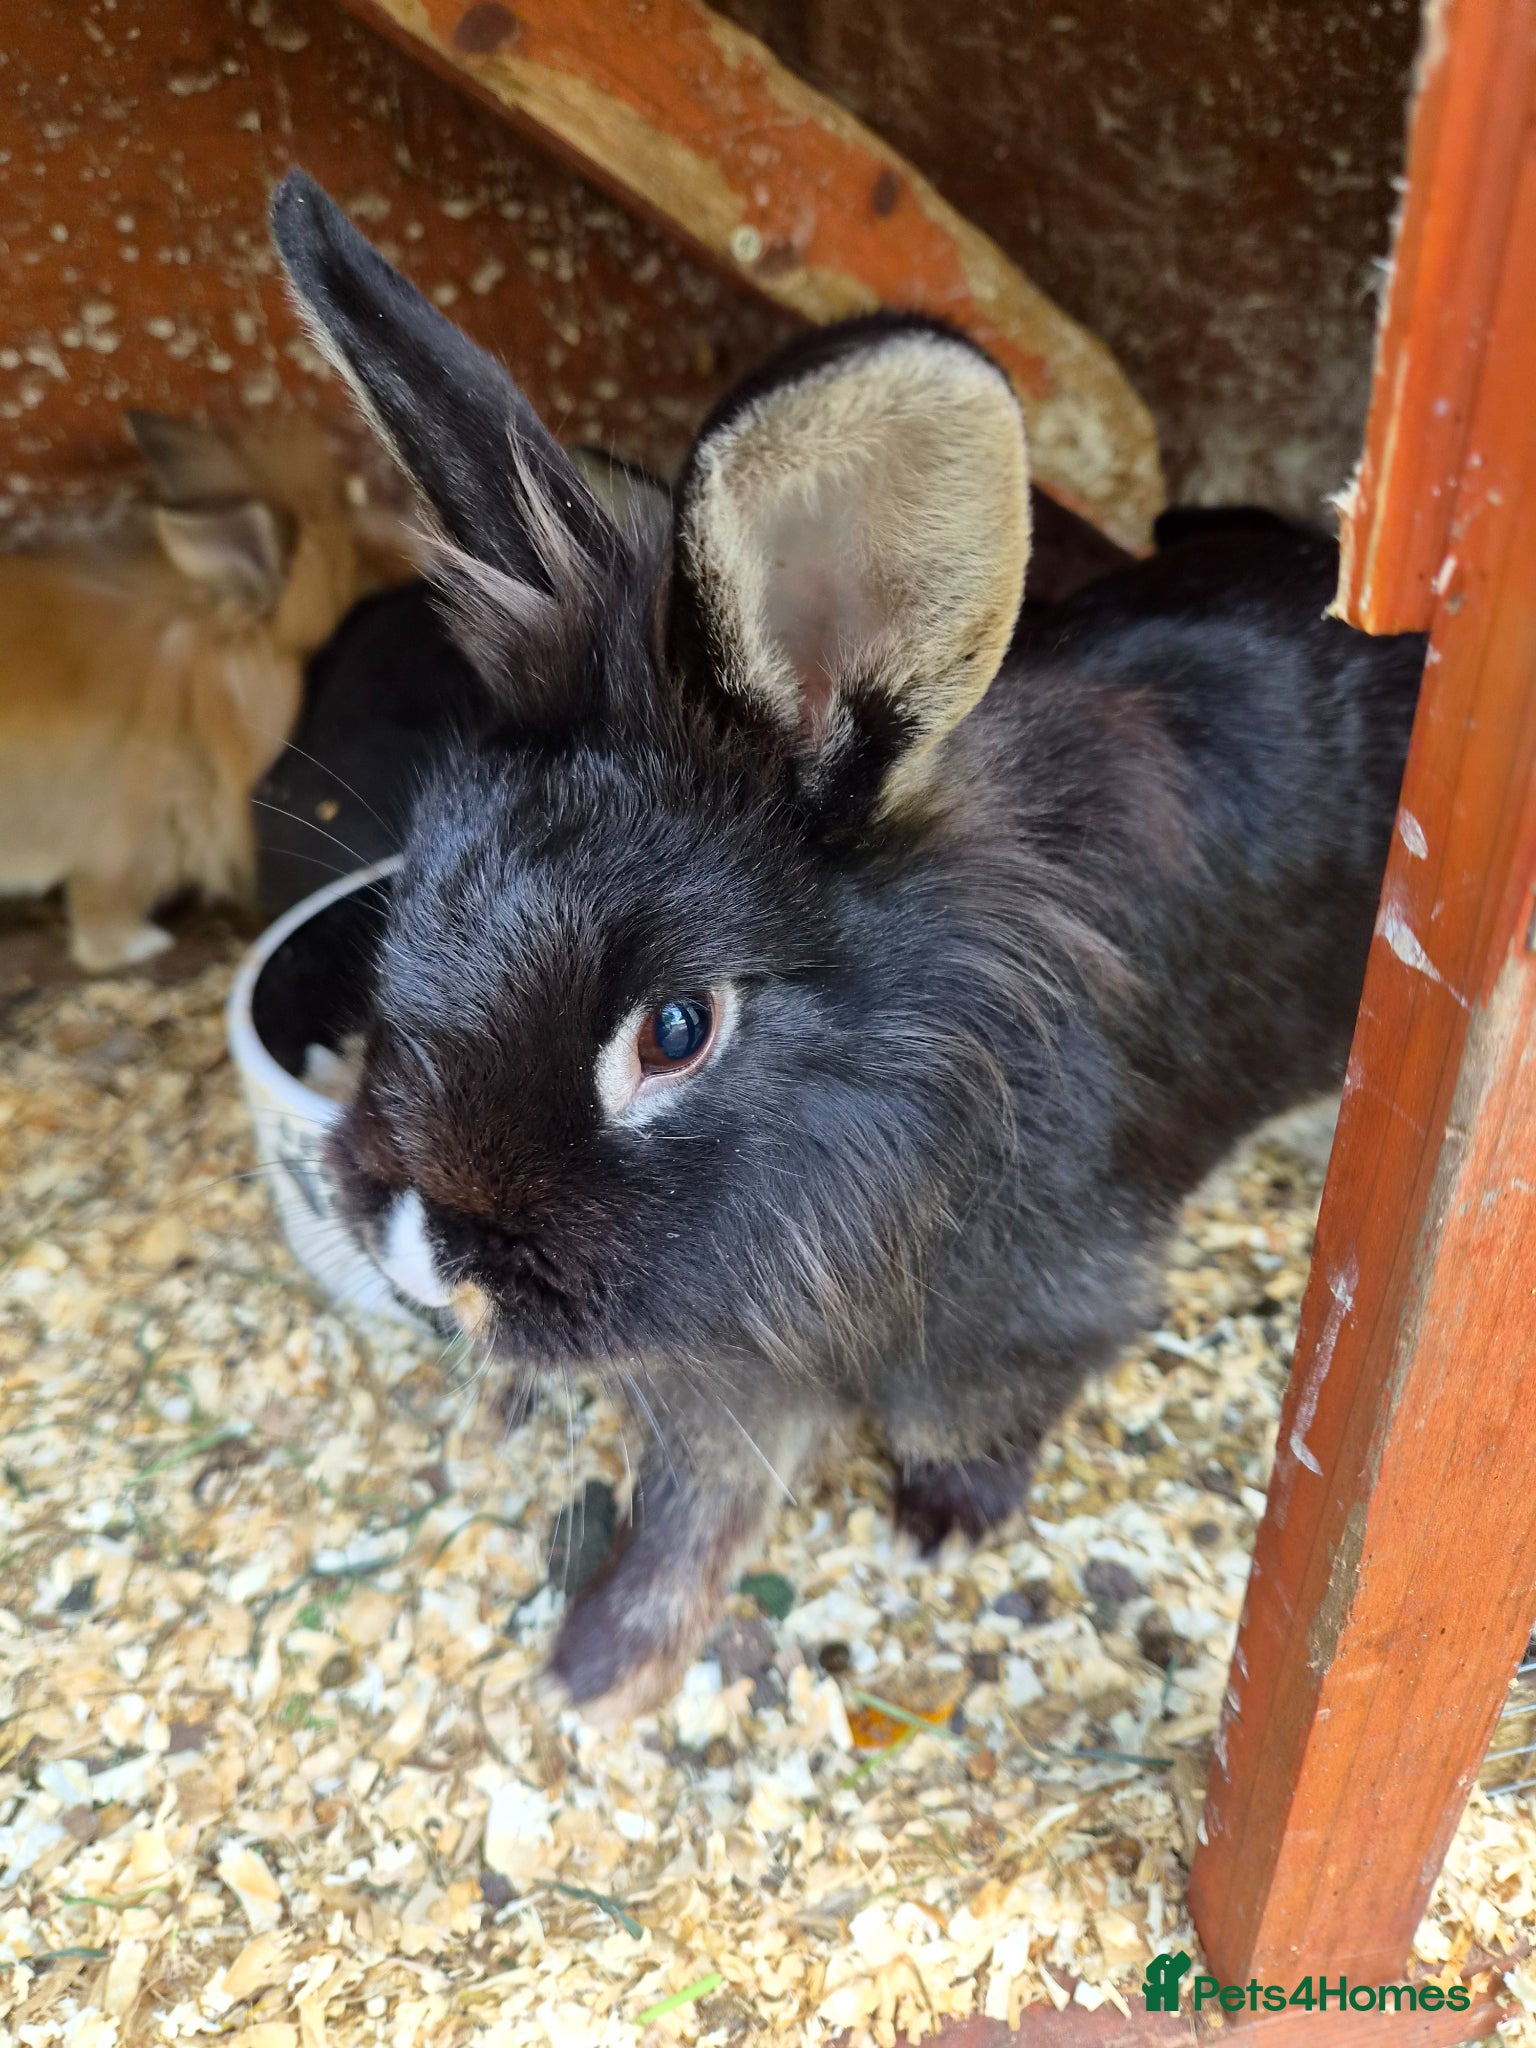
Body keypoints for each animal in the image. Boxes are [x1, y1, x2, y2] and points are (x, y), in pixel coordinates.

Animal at [271, 171, 1426, 1725]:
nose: (424, 1256)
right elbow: (700, 1506)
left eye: (677, 1030)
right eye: (414, 907)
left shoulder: (1028, 1307)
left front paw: (939, 1524)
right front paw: (602, 1671)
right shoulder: (725, 1366)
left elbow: (963, 1413)